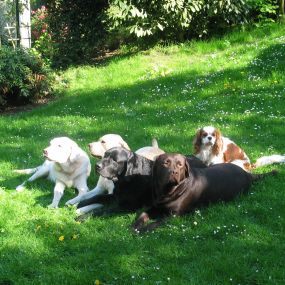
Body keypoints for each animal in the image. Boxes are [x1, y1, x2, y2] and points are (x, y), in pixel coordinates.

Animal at [132, 152, 276, 232]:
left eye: (179, 164)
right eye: (165, 163)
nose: (174, 172)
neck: (167, 192)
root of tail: (247, 174)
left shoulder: (172, 216)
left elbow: (155, 223)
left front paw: (143, 229)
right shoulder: (154, 207)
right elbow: (142, 214)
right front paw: (135, 225)